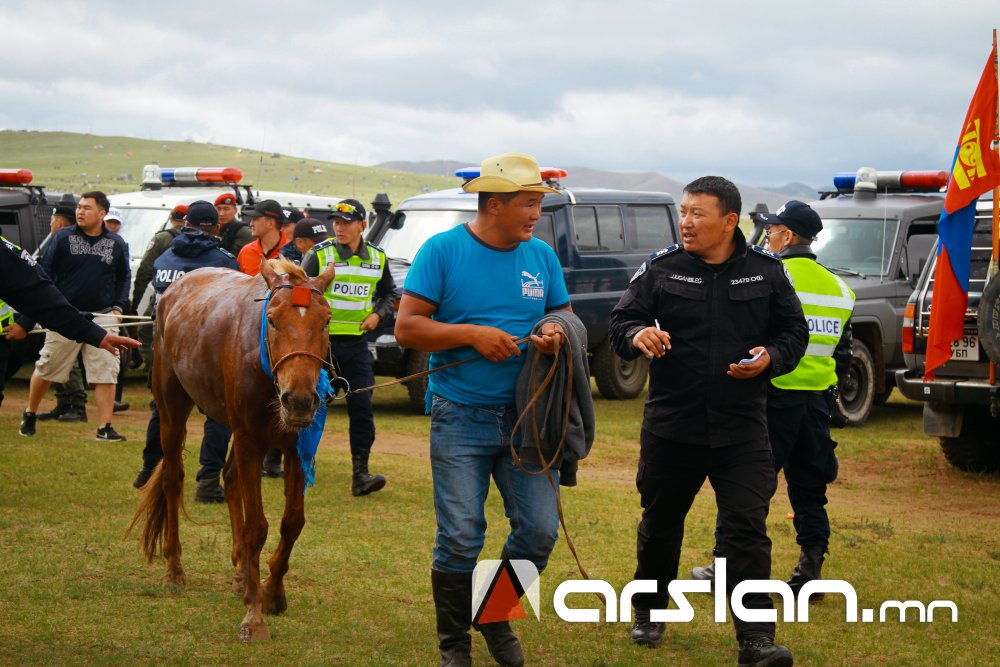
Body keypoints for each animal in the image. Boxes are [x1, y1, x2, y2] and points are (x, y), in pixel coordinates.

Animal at [131, 256, 336, 640]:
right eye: (273, 319)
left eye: (327, 320)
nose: (300, 399)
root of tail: (175, 290)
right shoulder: (249, 439)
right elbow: (257, 527)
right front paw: (254, 617)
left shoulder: (294, 445)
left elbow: (292, 522)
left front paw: (272, 591)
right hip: (171, 408)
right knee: (173, 480)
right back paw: (174, 569)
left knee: (229, 480)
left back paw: (241, 574)